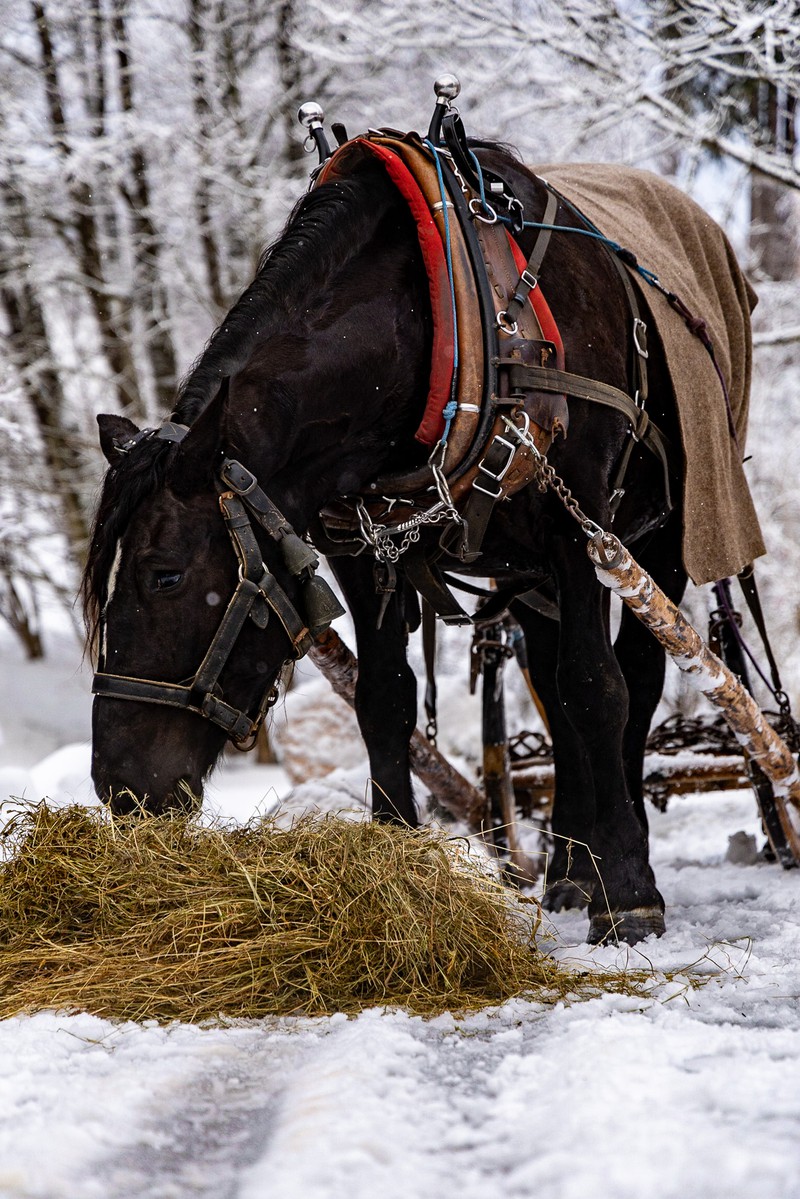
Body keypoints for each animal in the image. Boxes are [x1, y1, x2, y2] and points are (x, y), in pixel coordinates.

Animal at [82, 120, 756, 946]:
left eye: (166, 574)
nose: (116, 783)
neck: (440, 314)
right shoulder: (363, 548)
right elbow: (386, 700)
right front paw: (396, 857)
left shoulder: (582, 524)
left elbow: (599, 689)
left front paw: (627, 891)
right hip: (526, 571)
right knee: (551, 684)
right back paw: (568, 868)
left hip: (661, 536)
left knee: (633, 675)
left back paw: (610, 855)